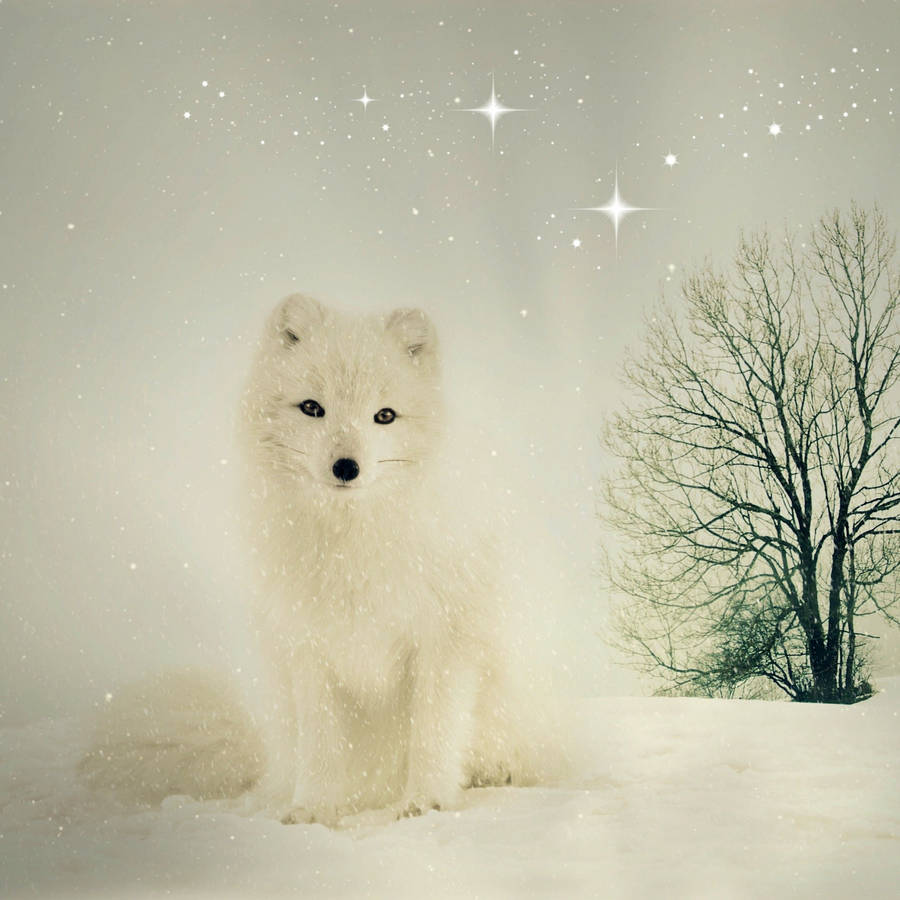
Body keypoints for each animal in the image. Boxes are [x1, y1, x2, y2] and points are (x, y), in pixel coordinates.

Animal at [80, 295, 565, 825]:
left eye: (384, 416)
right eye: (313, 408)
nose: (346, 467)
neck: (350, 545)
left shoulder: (445, 635)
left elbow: (432, 731)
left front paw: (426, 802)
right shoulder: (309, 645)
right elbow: (322, 742)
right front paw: (313, 810)